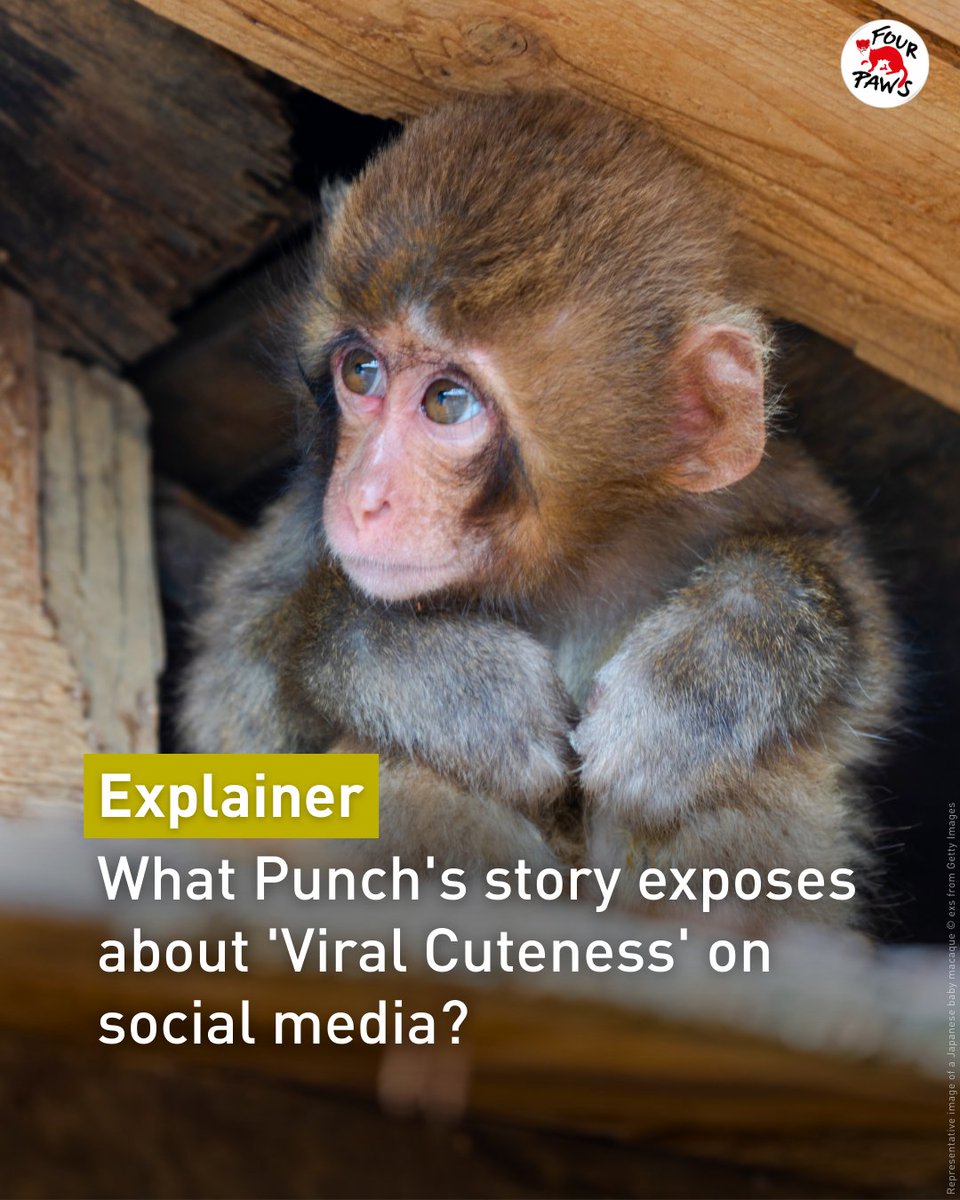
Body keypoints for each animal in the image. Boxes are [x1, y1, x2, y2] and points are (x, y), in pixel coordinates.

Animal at [180, 92, 900, 925]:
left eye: (447, 401)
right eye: (361, 370)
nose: (361, 498)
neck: (571, 563)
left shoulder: (765, 484)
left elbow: (859, 632)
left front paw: (704, 672)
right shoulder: (303, 519)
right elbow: (230, 699)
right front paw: (441, 679)